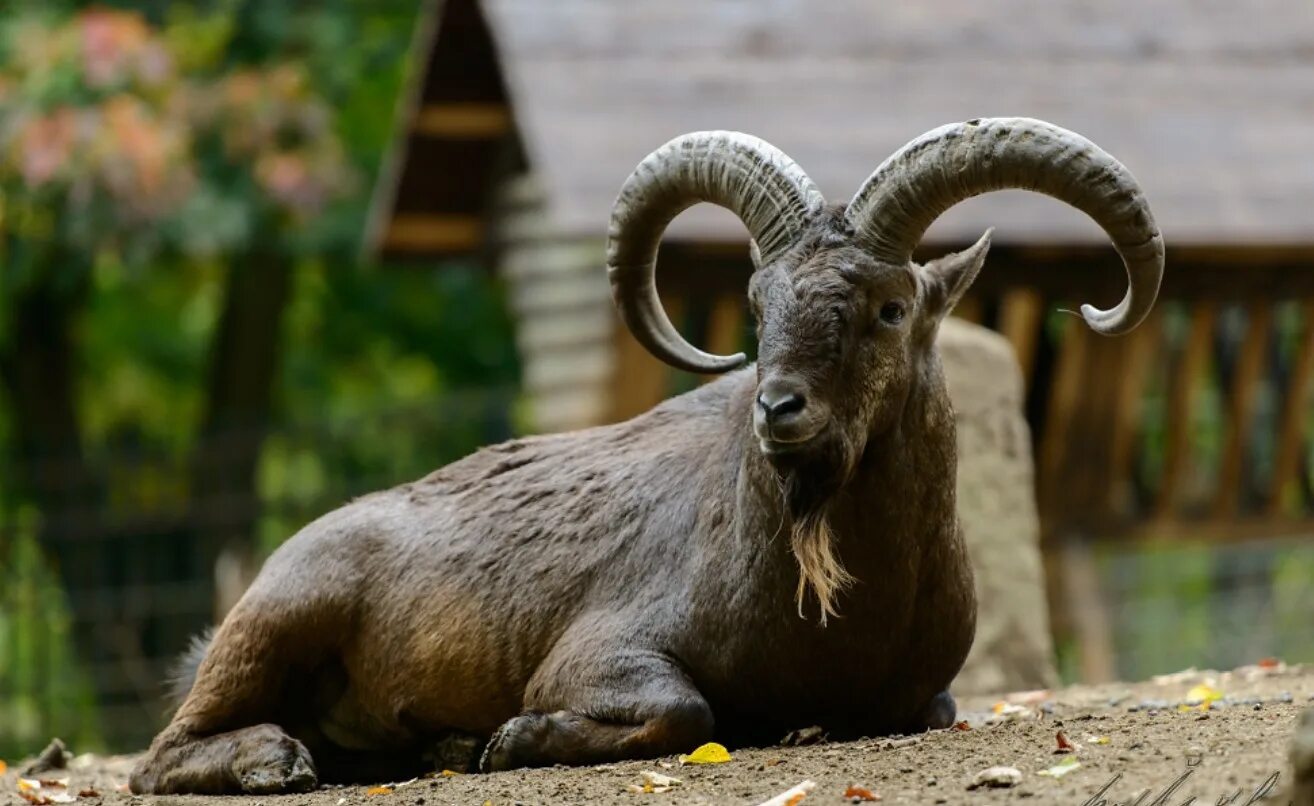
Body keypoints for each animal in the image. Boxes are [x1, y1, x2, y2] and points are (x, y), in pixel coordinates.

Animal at [130, 119, 1161, 794]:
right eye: (757, 301)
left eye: (890, 307)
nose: (778, 409)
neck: (832, 602)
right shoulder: (602, 654)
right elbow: (687, 712)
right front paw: (508, 737)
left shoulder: (926, 693)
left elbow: (929, 708)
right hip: (284, 615)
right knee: (158, 755)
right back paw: (277, 760)